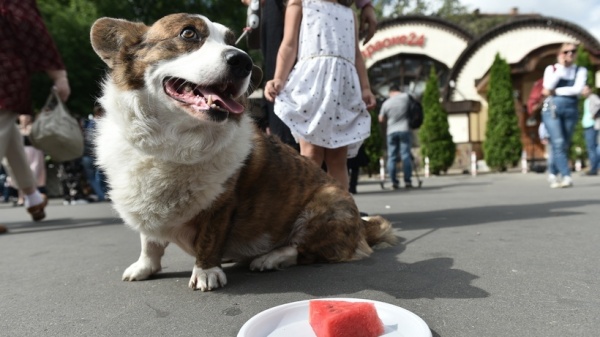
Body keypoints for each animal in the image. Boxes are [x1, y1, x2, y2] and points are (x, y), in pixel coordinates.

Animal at [90, 13, 394, 290]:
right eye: (188, 33)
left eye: (230, 40)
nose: (244, 62)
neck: (172, 142)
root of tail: (361, 228)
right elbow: (149, 241)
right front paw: (144, 267)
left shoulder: (221, 204)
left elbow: (209, 239)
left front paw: (206, 272)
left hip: (326, 202)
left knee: (305, 250)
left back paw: (270, 258)